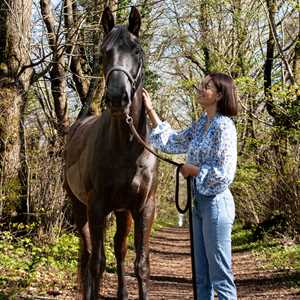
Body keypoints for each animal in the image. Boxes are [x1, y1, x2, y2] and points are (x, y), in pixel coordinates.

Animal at [64, 5, 158, 300]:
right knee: (88, 254)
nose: (118, 98)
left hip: (122, 212)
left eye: (137, 51)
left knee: (119, 250)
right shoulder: (97, 207)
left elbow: (140, 264)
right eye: (104, 51)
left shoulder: (143, 208)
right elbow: (97, 262)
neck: (127, 147)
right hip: (80, 208)